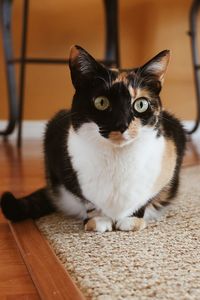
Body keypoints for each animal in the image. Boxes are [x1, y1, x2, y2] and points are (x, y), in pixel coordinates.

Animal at [0, 45, 187, 232]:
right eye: (101, 102)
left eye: (141, 104)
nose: (121, 124)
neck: (117, 157)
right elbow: (86, 199)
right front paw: (98, 220)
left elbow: (145, 198)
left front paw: (131, 220)